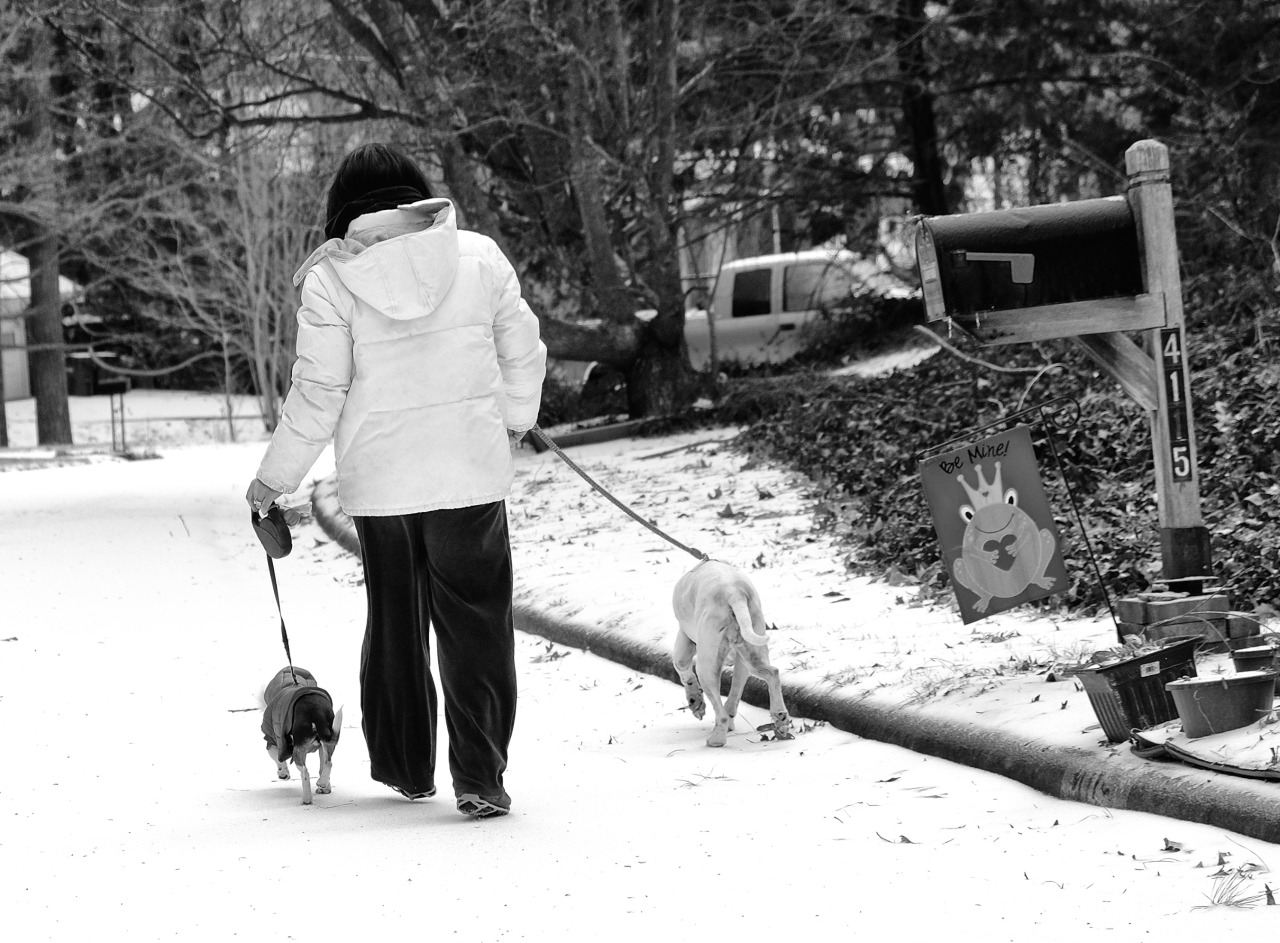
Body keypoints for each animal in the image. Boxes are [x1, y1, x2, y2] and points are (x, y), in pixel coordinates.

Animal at [261, 660, 343, 803]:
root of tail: (315, 711)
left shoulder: (272, 740)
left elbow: (278, 759)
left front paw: (283, 773)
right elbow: (323, 766)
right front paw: (325, 788)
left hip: (298, 750)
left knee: (305, 772)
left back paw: (306, 799)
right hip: (328, 741)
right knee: (328, 763)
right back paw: (322, 784)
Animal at [670, 555, 788, 747]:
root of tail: (734, 594)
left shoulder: (684, 642)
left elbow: (683, 671)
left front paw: (695, 702)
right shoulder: (741, 664)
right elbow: (735, 695)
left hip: (706, 667)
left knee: (721, 713)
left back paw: (716, 739)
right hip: (752, 653)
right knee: (772, 674)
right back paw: (780, 718)